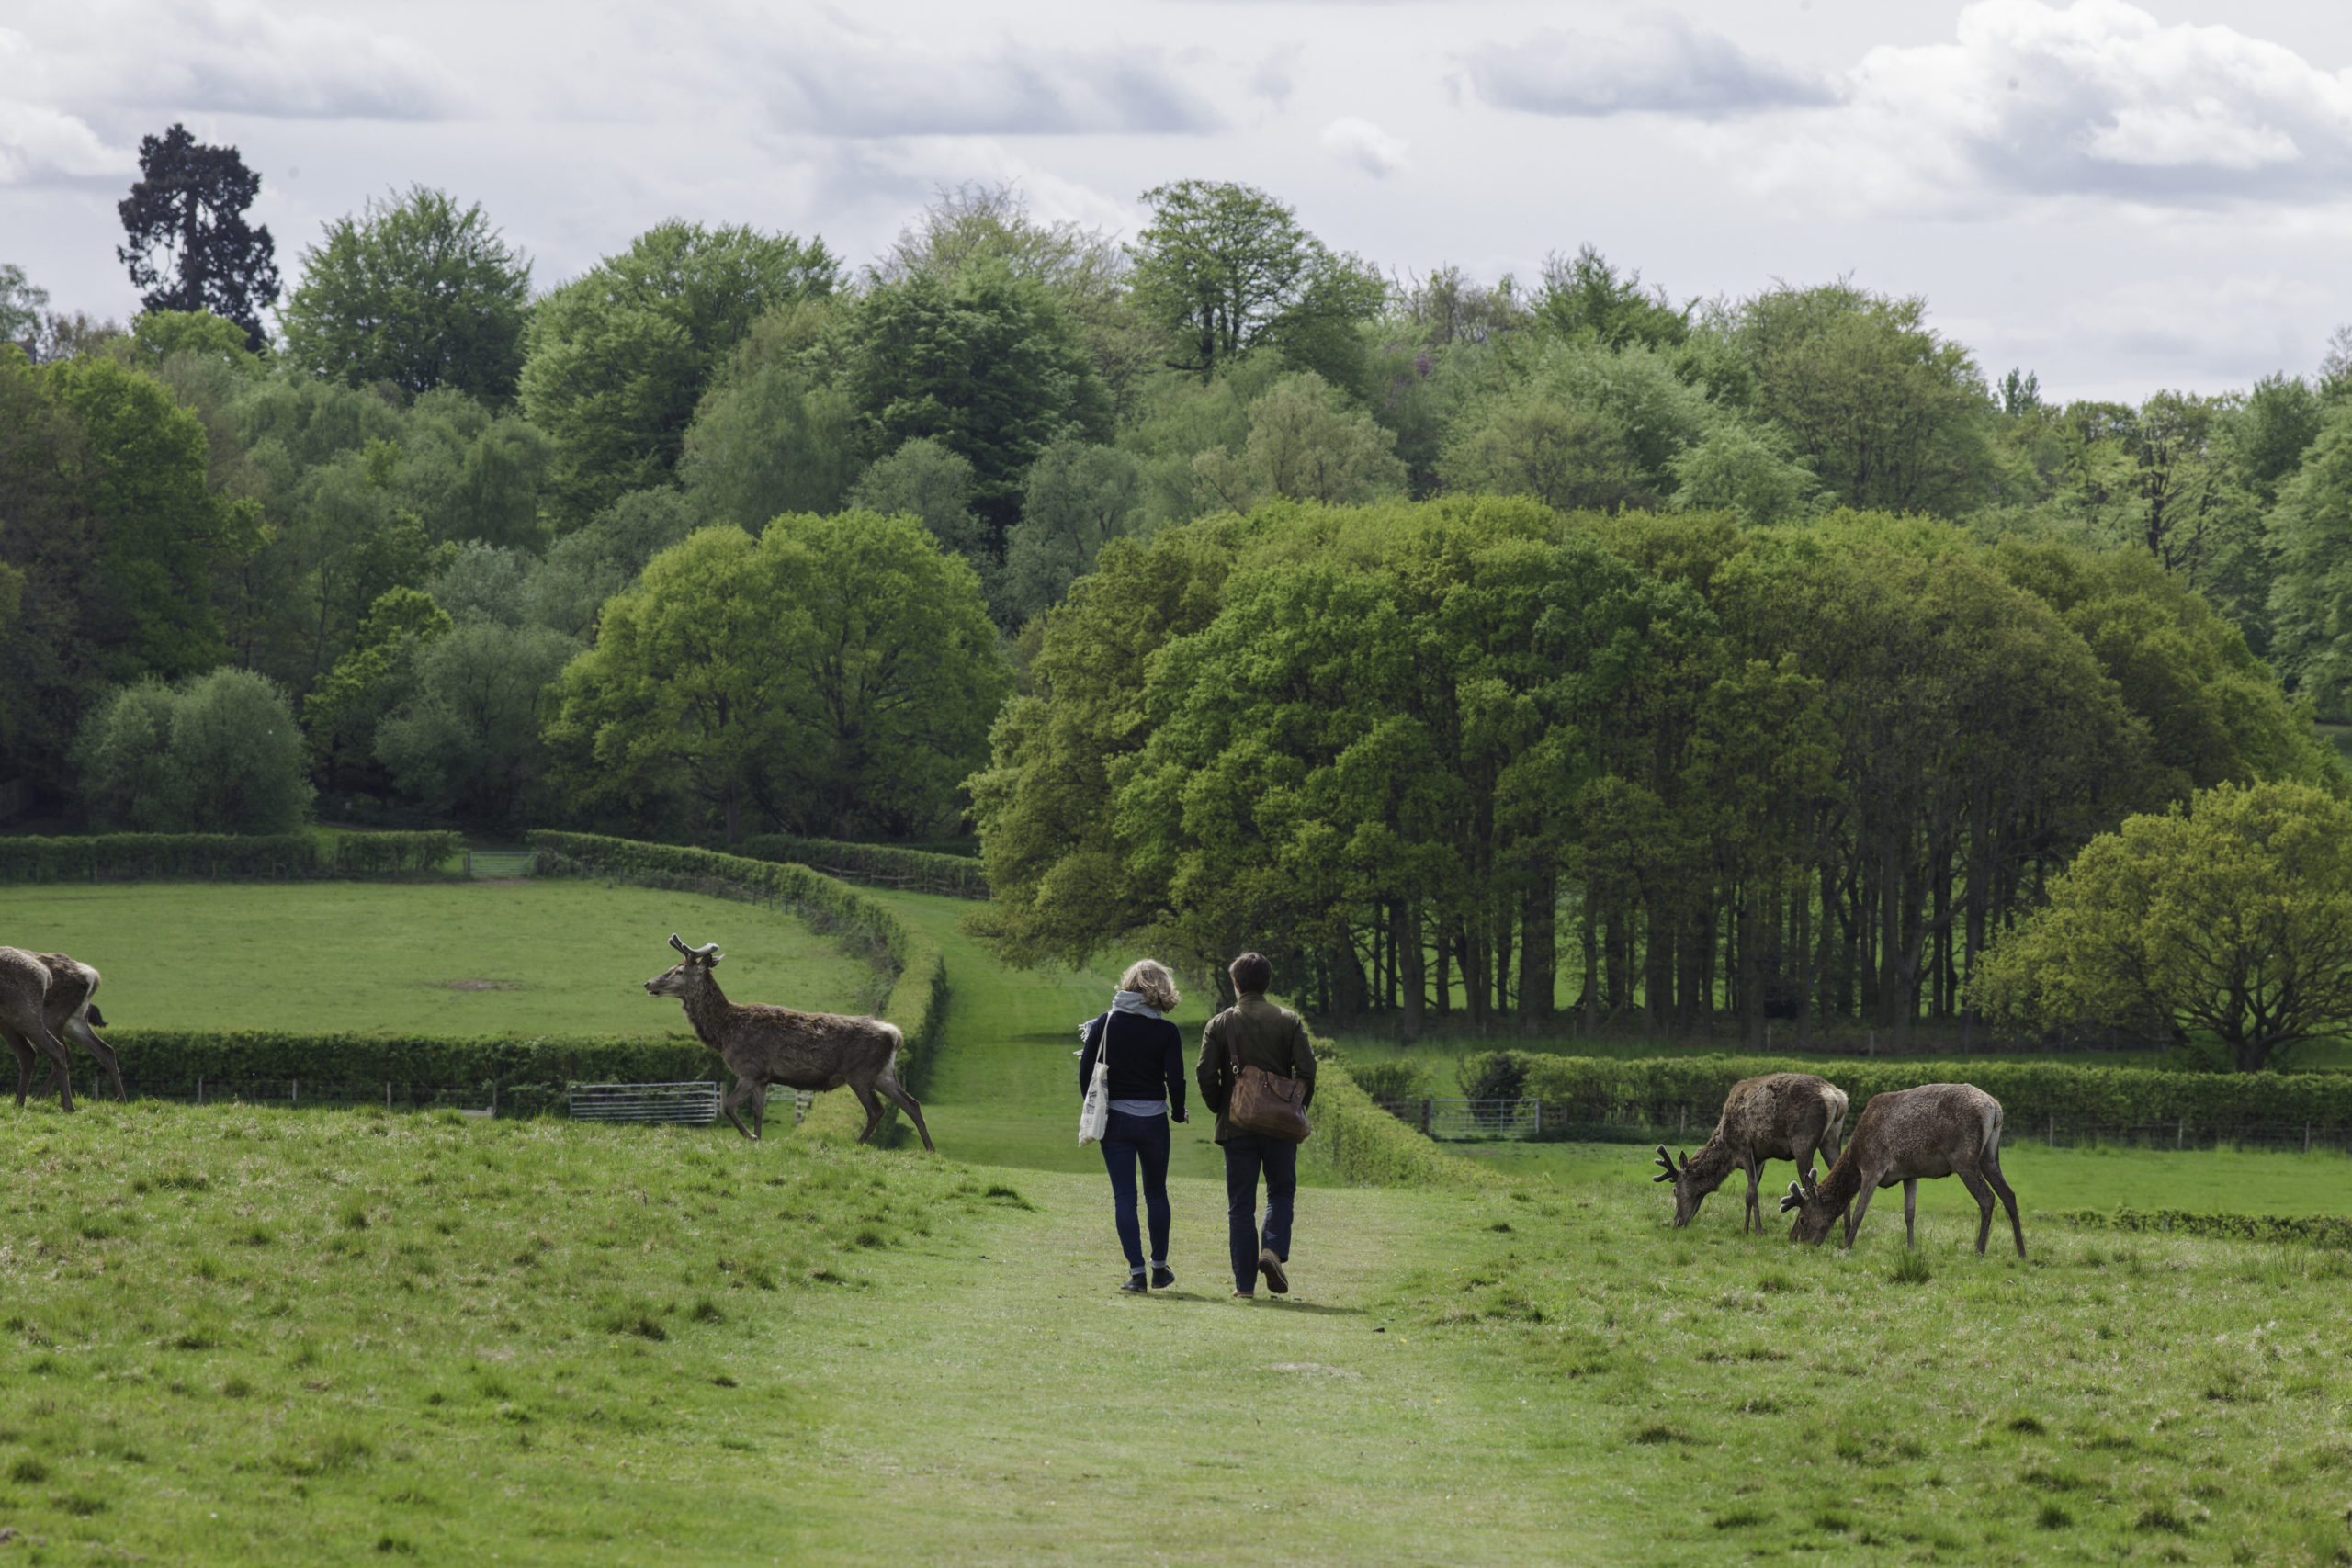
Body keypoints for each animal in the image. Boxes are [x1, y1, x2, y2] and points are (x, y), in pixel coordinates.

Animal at [649, 931, 941, 1152]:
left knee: (877, 1110)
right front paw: (758, 1139)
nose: (648, 983)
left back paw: (858, 1144)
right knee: (911, 1103)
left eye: (678, 971)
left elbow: (728, 1106)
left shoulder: (749, 1069)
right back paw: (930, 1149)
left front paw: (750, 1137)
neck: (725, 1033)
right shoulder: (764, 1077)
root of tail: (895, 1035)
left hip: (860, 1073)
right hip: (884, 1073)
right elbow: (758, 1111)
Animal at [1656, 1072, 1853, 1232]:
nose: (1677, 1222)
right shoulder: (1760, 1157)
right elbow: (1750, 1192)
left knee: (1811, 1186)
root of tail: (1838, 1098)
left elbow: (1752, 1193)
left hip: (1803, 1139)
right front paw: (1746, 1229)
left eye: (1675, 1190)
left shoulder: (1743, 1148)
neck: (1728, 1151)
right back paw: (1846, 1229)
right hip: (1832, 1139)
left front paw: (1757, 1231)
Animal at [1778, 1086, 2022, 1259]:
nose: (1801, 1244)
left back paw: (1979, 1251)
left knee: (1987, 1198)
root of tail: (1995, 1108)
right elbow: (1909, 1214)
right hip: (1989, 1156)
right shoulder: (1909, 1174)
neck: (1856, 1153)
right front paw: (1911, 1249)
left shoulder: (1872, 1166)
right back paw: (2021, 1252)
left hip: (1964, 1156)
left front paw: (1846, 1248)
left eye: (1802, 1219)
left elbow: (1859, 1212)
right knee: (2009, 1195)